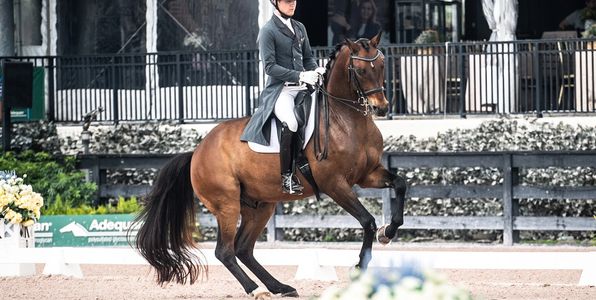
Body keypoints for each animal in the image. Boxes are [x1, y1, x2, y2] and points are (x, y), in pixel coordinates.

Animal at [133, 31, 408, 298]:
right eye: (360, 71)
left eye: (381, 65)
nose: (381, 108)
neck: (347, 120)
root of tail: (197, 152)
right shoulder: (334, 184)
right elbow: (367, 221)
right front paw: (360, 267)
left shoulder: (367, 175)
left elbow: (401, 184)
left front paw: (388, 232)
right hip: (227, 205)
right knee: (225, 251)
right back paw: (256, 289)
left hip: (260, 205)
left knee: (243, 248)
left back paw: (280, 287)